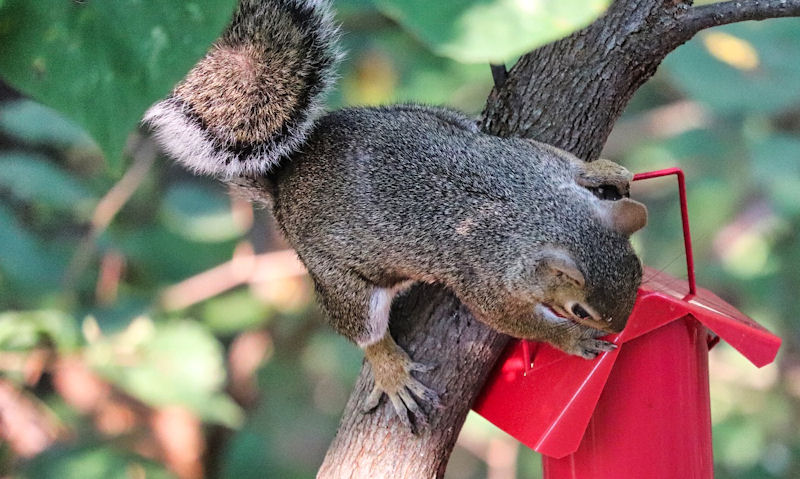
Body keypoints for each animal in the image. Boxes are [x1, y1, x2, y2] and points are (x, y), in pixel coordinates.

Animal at [145, 0, 648, 428]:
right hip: (339, 278)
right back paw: (391, 371)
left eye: (638, 271)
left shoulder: (532, 159)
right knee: (361, 328)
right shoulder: (486, 280)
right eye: (581, 310)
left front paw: (608, 171)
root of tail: (284, 183)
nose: (619, 328)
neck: (541, 209)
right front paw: (570, 340)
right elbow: (512, 320)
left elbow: (566, 161)